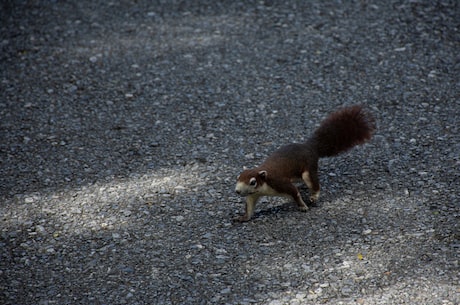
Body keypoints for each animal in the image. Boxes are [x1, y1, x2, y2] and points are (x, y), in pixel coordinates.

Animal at [235, 104, 376, 221]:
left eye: (253, 182)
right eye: (237, 178)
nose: (237, 191)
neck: (264, 188)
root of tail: (311, 147)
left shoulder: (279, 182)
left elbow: (294, 192)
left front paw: (303, 206)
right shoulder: (253, 195)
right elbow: (249, 207)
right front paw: (242, 218)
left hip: (308, 169)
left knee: (314, 183)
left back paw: (314, 196)